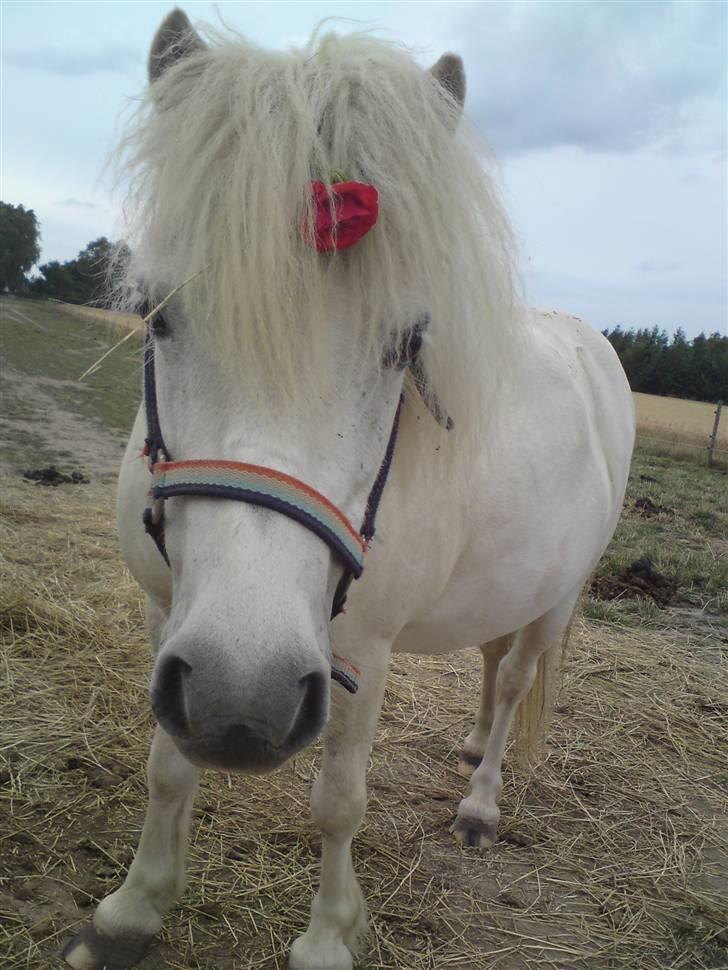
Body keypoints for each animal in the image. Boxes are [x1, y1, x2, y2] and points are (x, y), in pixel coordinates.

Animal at [65, 9, 636, 968]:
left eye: (406, 347)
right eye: (157, 315)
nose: (241, 704)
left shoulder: (361, 653)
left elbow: (338, 804)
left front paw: (330, 935)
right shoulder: (166, 616)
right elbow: (168, 764)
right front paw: (133, 908)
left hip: (558, 597)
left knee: (516, 678)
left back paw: (481, 801)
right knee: (492, 663)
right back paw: (471, 744)